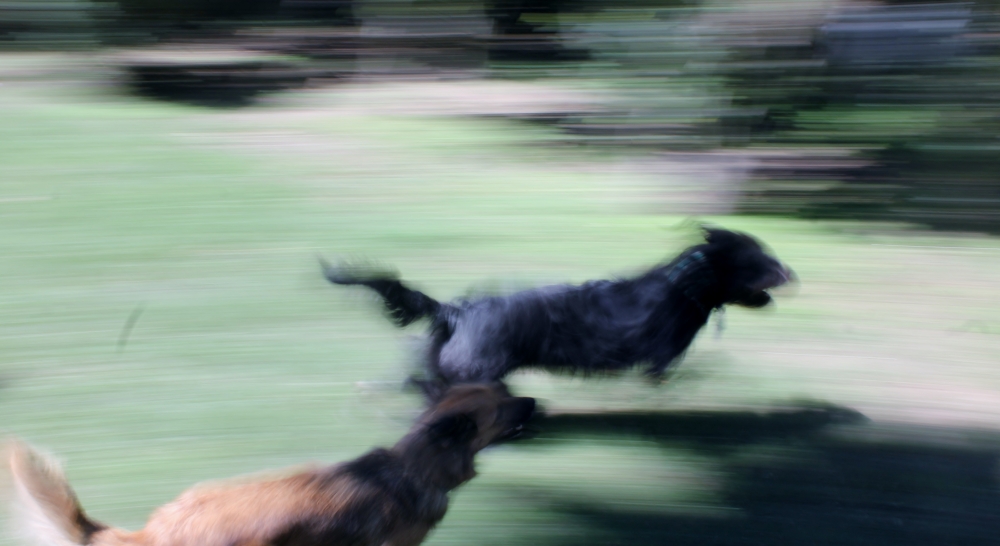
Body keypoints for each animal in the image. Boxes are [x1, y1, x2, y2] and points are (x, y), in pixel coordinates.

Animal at [324, 225, 792, 386]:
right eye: (759, 259)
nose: (791, 272)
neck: (685, 285)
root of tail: (456, 311)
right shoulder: (659, 360)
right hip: (478, 372)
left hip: (446, 365)